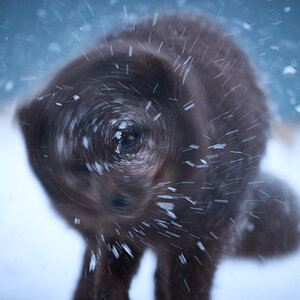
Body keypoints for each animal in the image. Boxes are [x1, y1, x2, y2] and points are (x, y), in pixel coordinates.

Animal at [17, 14, 298, 300]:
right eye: (79, 166)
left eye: (127, 138)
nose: (118, 201)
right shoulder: (115, 236)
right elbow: (109, 280)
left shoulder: (203, 238)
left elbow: (188, 288)